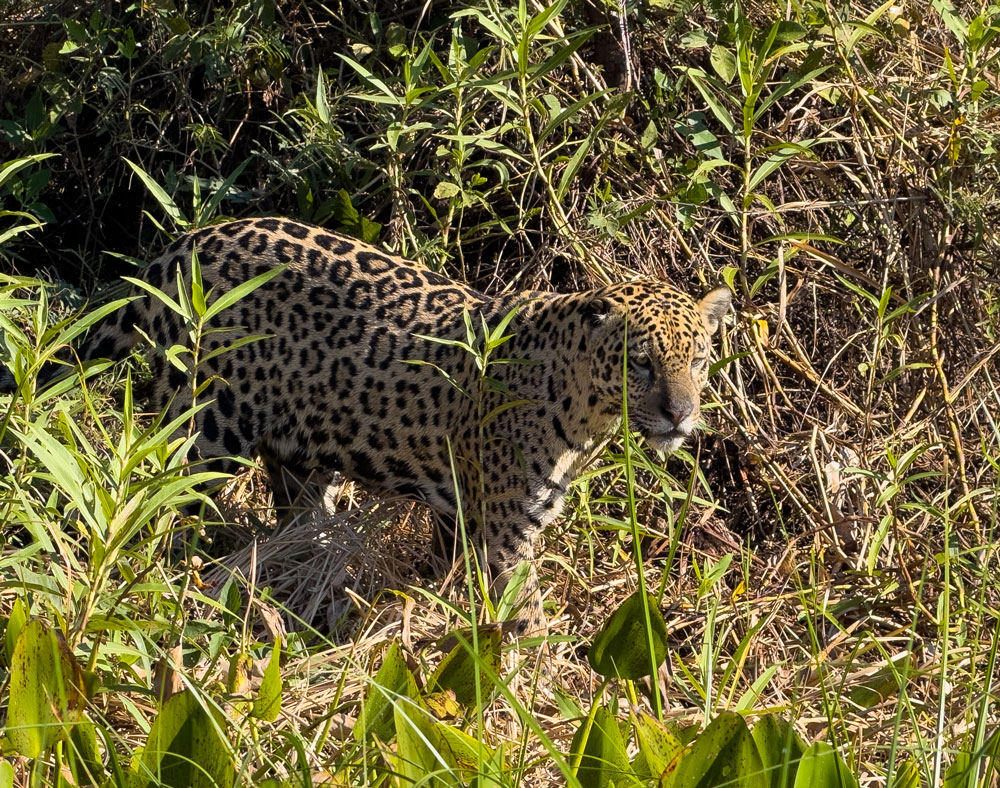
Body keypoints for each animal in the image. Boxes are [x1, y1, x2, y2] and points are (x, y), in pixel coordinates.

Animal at [1, 217, 731, 636]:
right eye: (641, 364)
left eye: (699, 360)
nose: (680, 413)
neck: (584, 414)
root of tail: (176, 249)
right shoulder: (505, 532)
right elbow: (522, 617)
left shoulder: (461, 515)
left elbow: (438, 579)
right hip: (206, 428)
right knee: (162, 508)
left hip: (300, 454)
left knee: (300, 520)